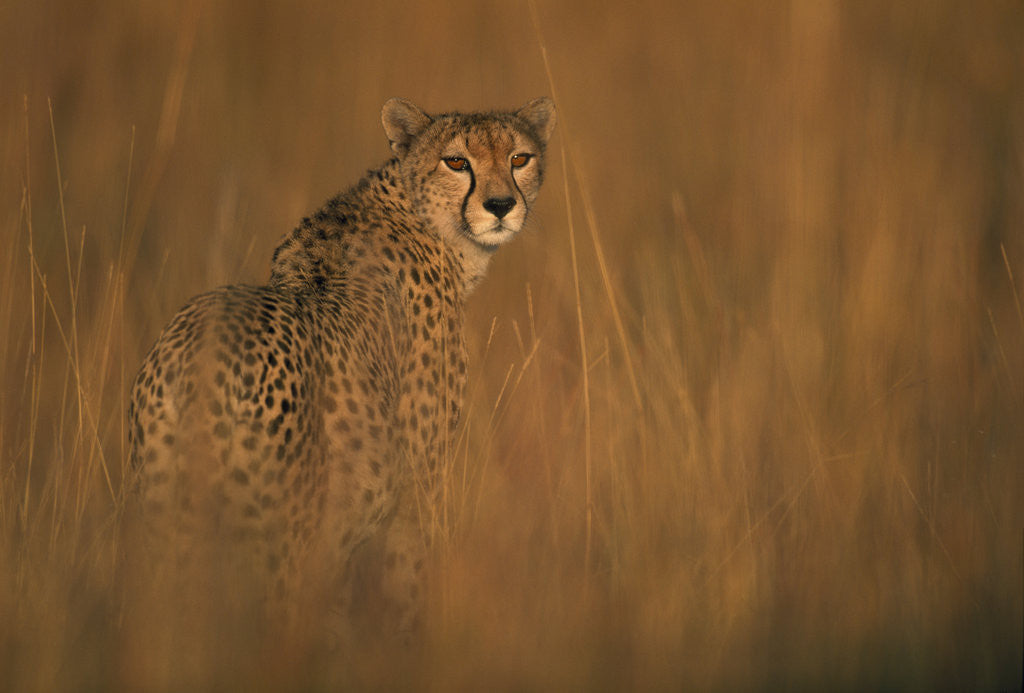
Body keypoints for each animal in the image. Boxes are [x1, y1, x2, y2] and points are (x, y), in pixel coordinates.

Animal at [126, 97, 556, 642]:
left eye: (519, 158)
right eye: (457, 162)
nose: (500, 205)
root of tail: (198, 346)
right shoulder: (416, 488)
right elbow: (405, 590)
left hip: (166, 531)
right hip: (278, 546)